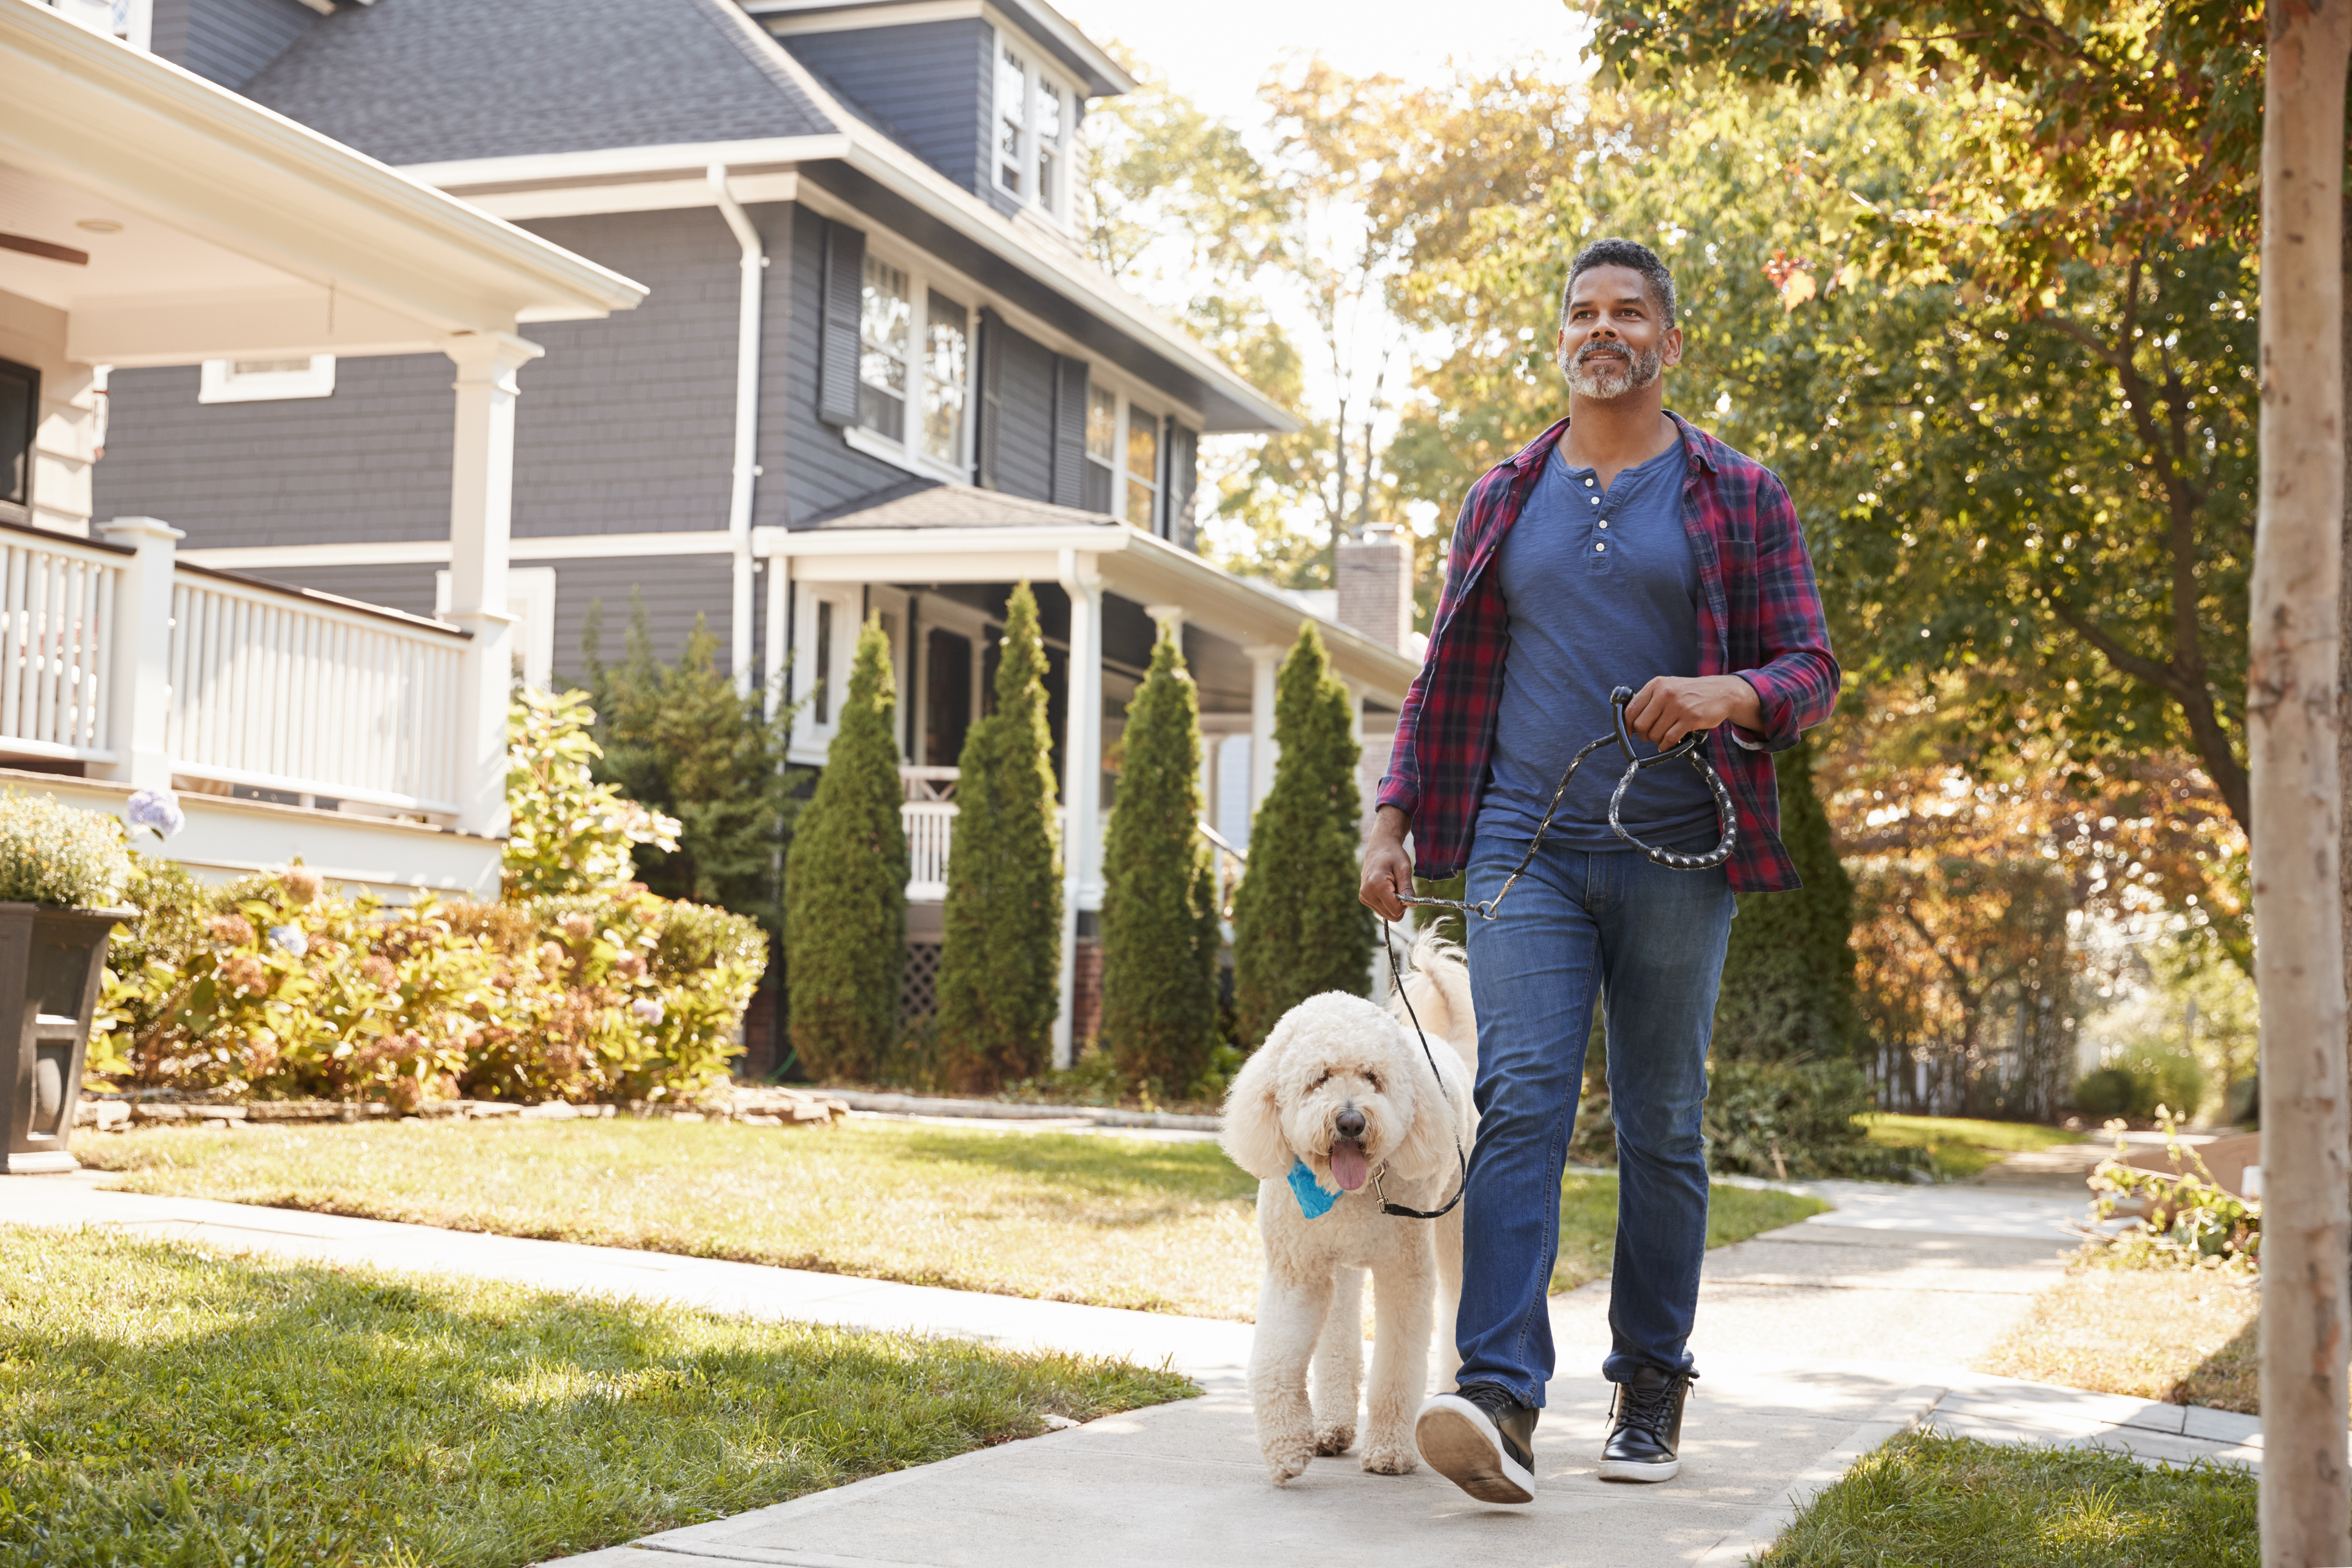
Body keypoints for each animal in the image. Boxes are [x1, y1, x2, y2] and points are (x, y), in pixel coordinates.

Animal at [1223, 931, 1477, 1486]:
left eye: (1372, 1076)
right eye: (1319, 1078)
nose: (1350, 1121)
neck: (1345, 1192)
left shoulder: (1405, 1274)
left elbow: (1397, 1369)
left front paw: (1389, 1450)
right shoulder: (1297, 1271)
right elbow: (1276, 1360)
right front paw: (1286, 1446)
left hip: (1454, 1231)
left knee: (1456, 1304)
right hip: (1338, 1268)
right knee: (1339, 1336)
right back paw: (1332, 1426)